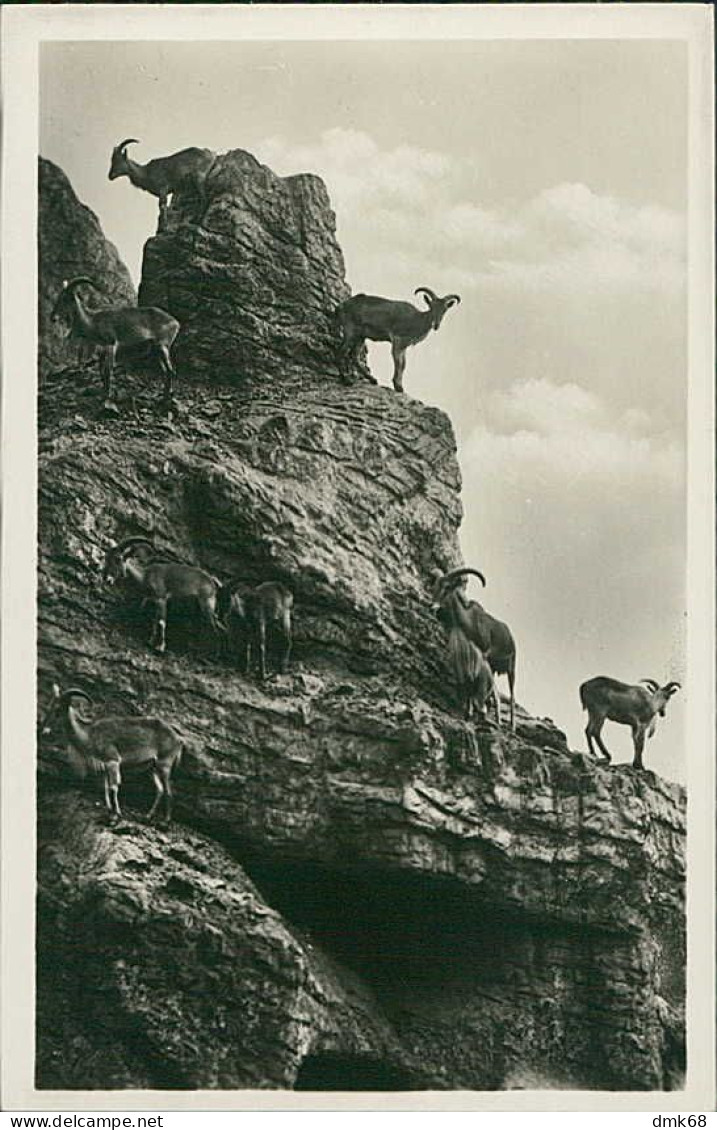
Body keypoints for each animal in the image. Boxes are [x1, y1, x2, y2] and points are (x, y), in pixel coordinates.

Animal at [40, 678, 181, 822]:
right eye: (50, 707)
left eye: (58, 709)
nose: (44, 729)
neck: (89, 734)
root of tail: (178, 739)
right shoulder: (104, 766)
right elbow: (106, 788)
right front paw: (109, 810)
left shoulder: (113, 761)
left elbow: (114, 787)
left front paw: (116, 814)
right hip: (152, 769)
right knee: (160, 790)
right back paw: (148, 815)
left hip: (164, 764)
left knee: (168, 791)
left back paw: (166, 820)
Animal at [431, 565, 517, 732]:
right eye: (435, 587)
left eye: (447, 588)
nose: (434, 608)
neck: (468, 621)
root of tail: (509, 634)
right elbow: (469, 682)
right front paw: (468, 713)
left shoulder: (482, 655)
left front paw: (478, 711)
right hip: (495, 667)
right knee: (497, 694)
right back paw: (497, 720)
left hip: (511, 667)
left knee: (511, 695)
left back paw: (511, 726)